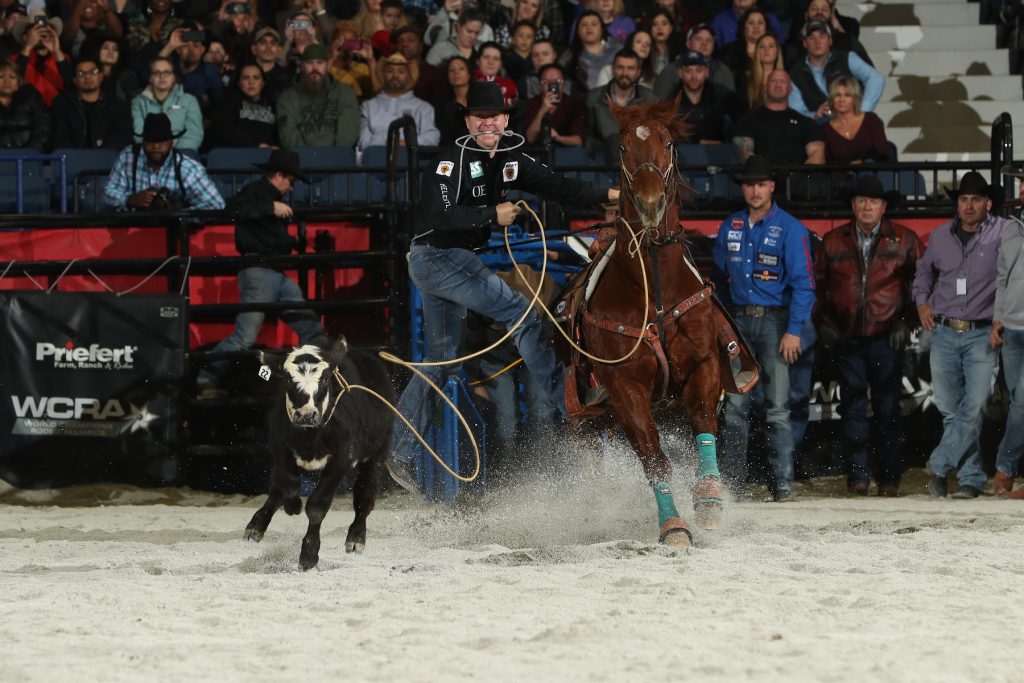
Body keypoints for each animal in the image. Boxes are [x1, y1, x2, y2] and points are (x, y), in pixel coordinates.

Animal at [243, 337, 395, 573]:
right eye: (287, 378)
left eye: (324, 378)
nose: (306, 414)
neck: (310, 436)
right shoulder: (279, 445)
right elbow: (287, 484)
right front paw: (292, 506)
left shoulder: (342, 457)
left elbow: (316, 506)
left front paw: (309, 554)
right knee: (277, 489)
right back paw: (256, 525)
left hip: (376, 454)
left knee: (365, 496)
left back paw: (356, 537)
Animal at [569, 98, 729, 548]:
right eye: (623, 147)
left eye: (669, 142)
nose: (650, 202)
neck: (655, 289)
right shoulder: (625, 388)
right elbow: (654, 458)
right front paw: (673, 525)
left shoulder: (704, 364)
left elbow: (704, 424)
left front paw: (709, 499)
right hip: (588, 418)